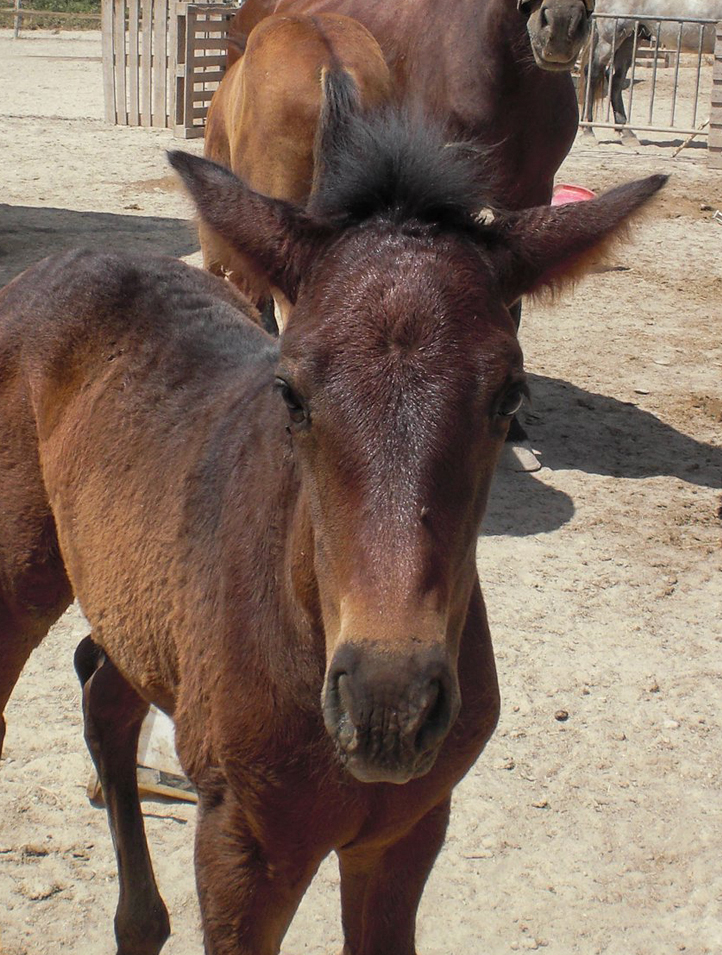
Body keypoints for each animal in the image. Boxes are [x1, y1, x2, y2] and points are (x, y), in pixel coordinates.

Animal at [0, 79, 665, 955]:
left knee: (105, 689)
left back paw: (139, 921)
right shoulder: (241, 846)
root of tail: (58, 263)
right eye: (290, 392)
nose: (389, 705)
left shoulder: (407, 830)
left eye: (509, 398)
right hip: (19, 575)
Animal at [580, 0, 722, 131]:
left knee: (615, 79)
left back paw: (624, 129)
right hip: (610, 38)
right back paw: (587, 126)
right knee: (593, 72)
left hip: (631, 39)